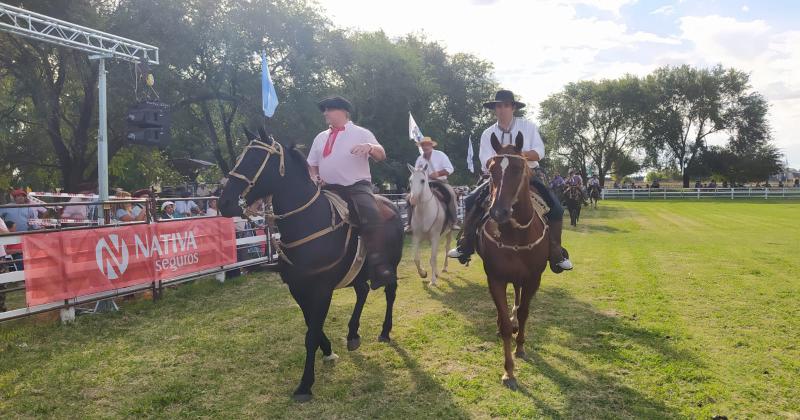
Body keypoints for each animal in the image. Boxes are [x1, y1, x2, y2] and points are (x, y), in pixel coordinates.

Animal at [217, 127, 404, 400]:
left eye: (255, 160)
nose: (224, 203)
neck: (309, 222)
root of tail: (393, 204)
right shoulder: (298, 288)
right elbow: (311, 327)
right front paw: (328, 350)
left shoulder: (322, 289)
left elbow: (310, 334)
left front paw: (305, 384)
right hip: (357, 272)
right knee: (362, 291)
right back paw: (353, 334)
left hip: (392, 265)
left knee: (390, 293)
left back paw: (385, 331)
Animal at [476, 133, 552, 388]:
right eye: (491, 169)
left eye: (519, 169)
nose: (498, 212)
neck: (515, 235)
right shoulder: (496, 279)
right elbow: (507, 326)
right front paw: (508, 371)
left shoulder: (532, 279)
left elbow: (524, 313)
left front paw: (520, 348)